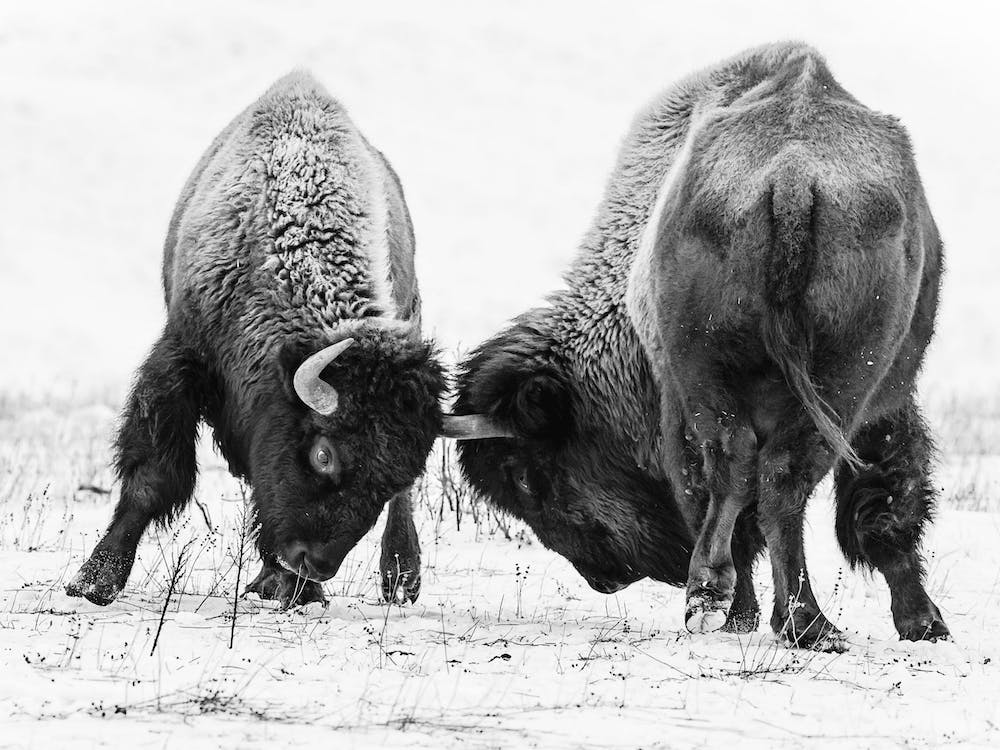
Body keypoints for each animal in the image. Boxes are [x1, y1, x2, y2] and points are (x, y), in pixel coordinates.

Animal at [67, 72, 445, 608]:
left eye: (391, 477)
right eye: (323, 454)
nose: (314, 563)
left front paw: (289, 588)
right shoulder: (183, 358)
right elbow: (152, 478)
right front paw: (92, 582)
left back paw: (398, 579)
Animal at [447, 42, 949, 649]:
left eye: (527, 476)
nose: (603, 579)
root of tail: (792, 175)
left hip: (751, 383)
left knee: (749, 477)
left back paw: (742, 605)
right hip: (829, 387)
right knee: (769, 481)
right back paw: (787, 619)